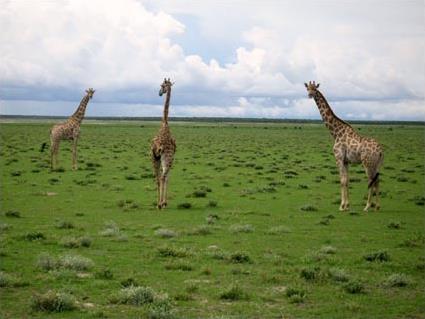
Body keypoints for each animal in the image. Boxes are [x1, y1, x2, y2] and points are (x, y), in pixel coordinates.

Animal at [304, 81, 382, 212]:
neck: (335, 132)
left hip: (367, 163)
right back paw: (377, 206)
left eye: (314, 89)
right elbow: (347, 180)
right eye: (307, 88)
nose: (309, 95)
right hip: (376, 164)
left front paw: (341, 206)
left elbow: (341, 180)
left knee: (371, 180)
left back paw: (367, 206)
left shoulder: (338, 158)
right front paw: (347, 205)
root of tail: (381, 151)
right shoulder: (346, 161)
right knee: (377, 180)